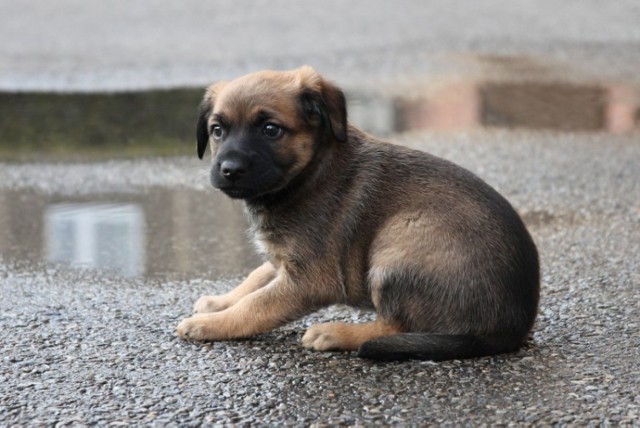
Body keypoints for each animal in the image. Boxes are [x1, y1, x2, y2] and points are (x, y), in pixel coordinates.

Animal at [176, 66, 540, 362]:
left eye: (270, 129)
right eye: (217, 130)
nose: (229, 170)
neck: (311, 171)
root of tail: (511, 327)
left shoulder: (310, 279)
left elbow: (257, 305)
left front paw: (210, 323)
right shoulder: (286, 261)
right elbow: (256, 277)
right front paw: (219, 302)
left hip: (400, 236)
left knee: (396, 326)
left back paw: (335, 333)